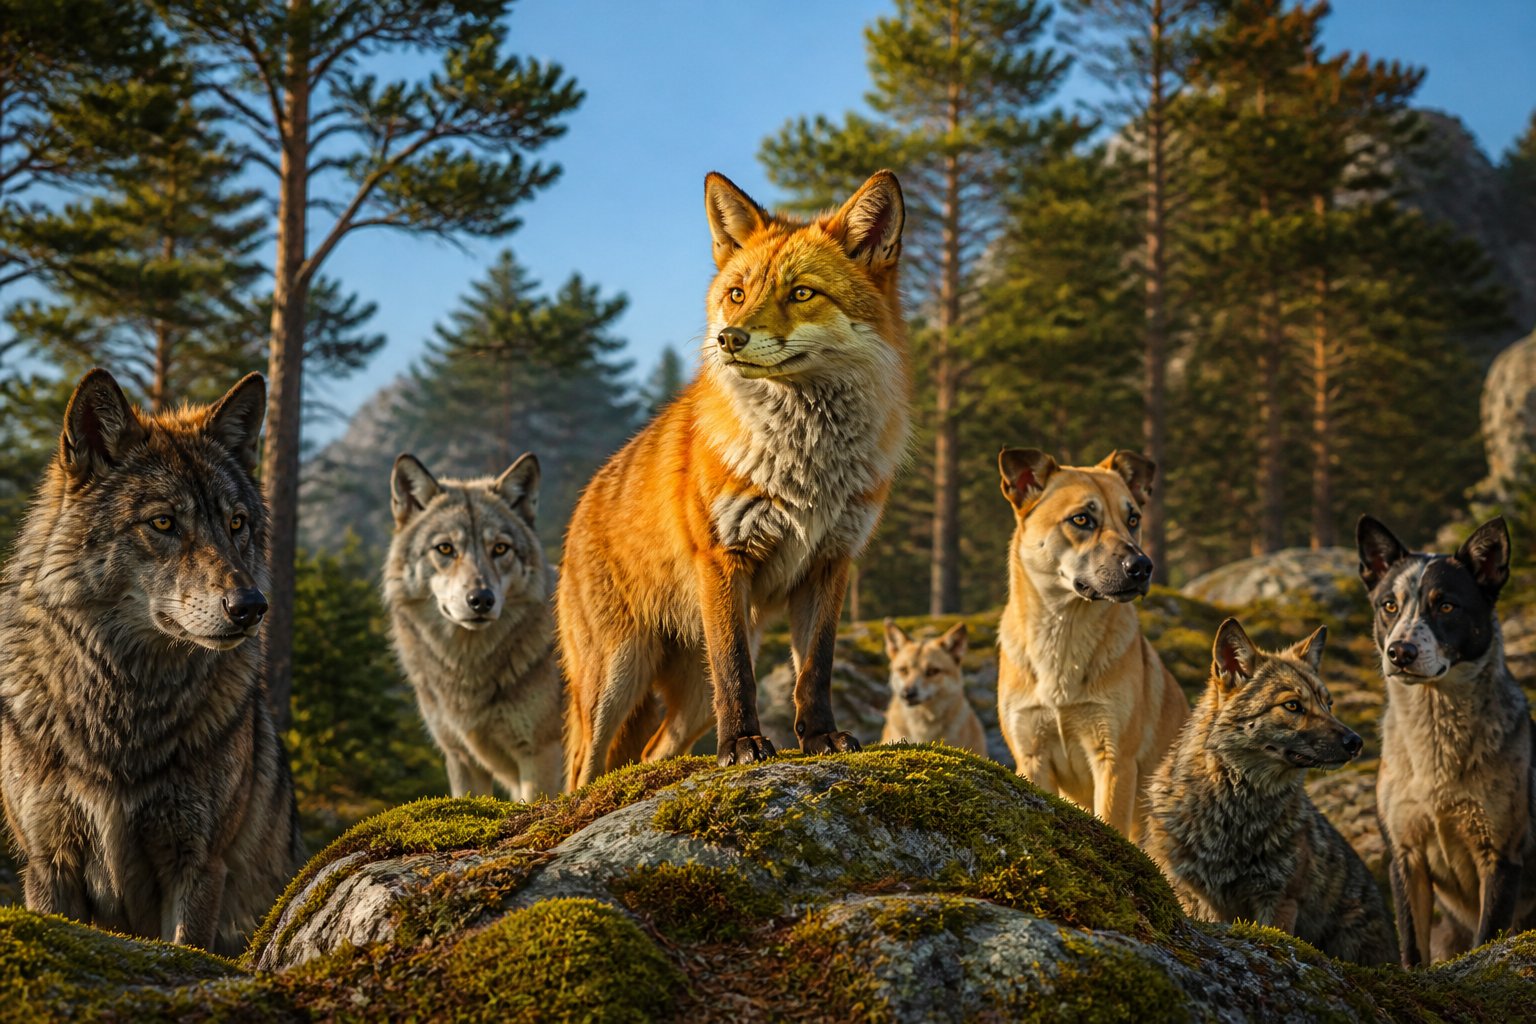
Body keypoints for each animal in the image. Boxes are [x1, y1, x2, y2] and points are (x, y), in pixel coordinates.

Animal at [0, 369, 302, 953]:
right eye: (163, 522)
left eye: (236, 523)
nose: (251, 607)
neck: (123, 706)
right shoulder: (49, 864)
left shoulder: (198, 865)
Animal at [385, 452, 563, 801]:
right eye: (445, 548)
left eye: (500, 548)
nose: (481, 599)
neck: (467, 669)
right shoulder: (461, 759)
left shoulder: (541, 754)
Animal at [560, 169, 909, 788]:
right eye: (737, 294)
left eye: (802, 294)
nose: (730, 339)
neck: (804, 467)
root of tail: (582, 503)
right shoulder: (724, 556)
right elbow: (737, 674)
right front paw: (743, 744)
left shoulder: (831, 561)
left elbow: (815, 671)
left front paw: (820, 738)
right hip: (615, 676)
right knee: (582, 771)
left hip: (689, 699)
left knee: (651, 753)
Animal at [1144, 618, 1397, 966]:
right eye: (1292, 706)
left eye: (1328, 703)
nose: (1356, 742)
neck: (1232, 819)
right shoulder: (1195, 897)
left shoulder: (1278, 899)